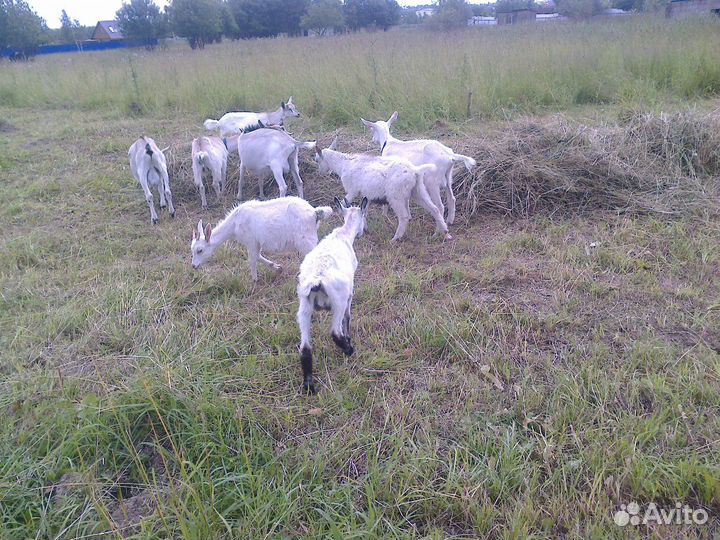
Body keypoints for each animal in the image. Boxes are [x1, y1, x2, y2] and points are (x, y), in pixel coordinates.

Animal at [191, 196, 333, 281]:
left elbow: (253, 260)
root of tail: (315, 213)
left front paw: (254, 280)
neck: (235, 224)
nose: (193, 266)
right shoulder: (256, 243)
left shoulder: (251, 241)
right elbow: (258, 257)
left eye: (200, 250)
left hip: (305, 240)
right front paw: (277, 267)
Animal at [296, 197, 369, 394]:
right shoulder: (350, 293)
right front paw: (349, 338)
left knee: (305, 348)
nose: (363, 232)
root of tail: (317, 280)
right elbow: (348, 317)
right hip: (338, 302)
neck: (342, 235)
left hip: (304, 308)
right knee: (335, 331)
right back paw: (349, 350)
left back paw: (309, 385)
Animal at [314, 138, 449, 240]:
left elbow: (342, 203)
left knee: (404, 217)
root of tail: (415, 171)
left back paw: (396, 238)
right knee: (435, 209)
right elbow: (364, 210)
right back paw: (443, 232)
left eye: (316, 160)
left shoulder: (352, 191)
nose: (320, 173)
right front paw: (365, 228)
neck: (343, 164)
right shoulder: (366, 195)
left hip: (396, 196)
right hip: (418, 191)